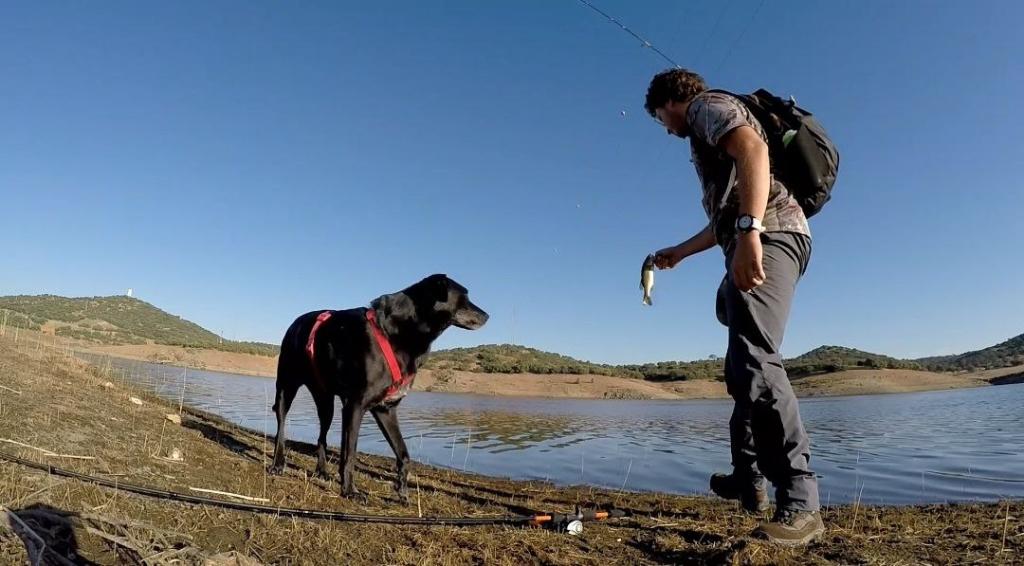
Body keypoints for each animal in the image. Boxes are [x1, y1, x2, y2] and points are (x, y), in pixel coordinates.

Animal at [272, 274, 487, 499]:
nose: (487, 316)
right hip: (286, 389)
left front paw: (402, 490)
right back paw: (278, 464)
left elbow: (403, 454)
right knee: (281, 428)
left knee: (321, 437)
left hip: (325, 402)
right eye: (464, 297)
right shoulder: (355, 406)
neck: (397, 333)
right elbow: (350, 455)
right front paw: (350, 491)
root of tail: (295, 322)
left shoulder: (385, 409)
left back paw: (321, 471)